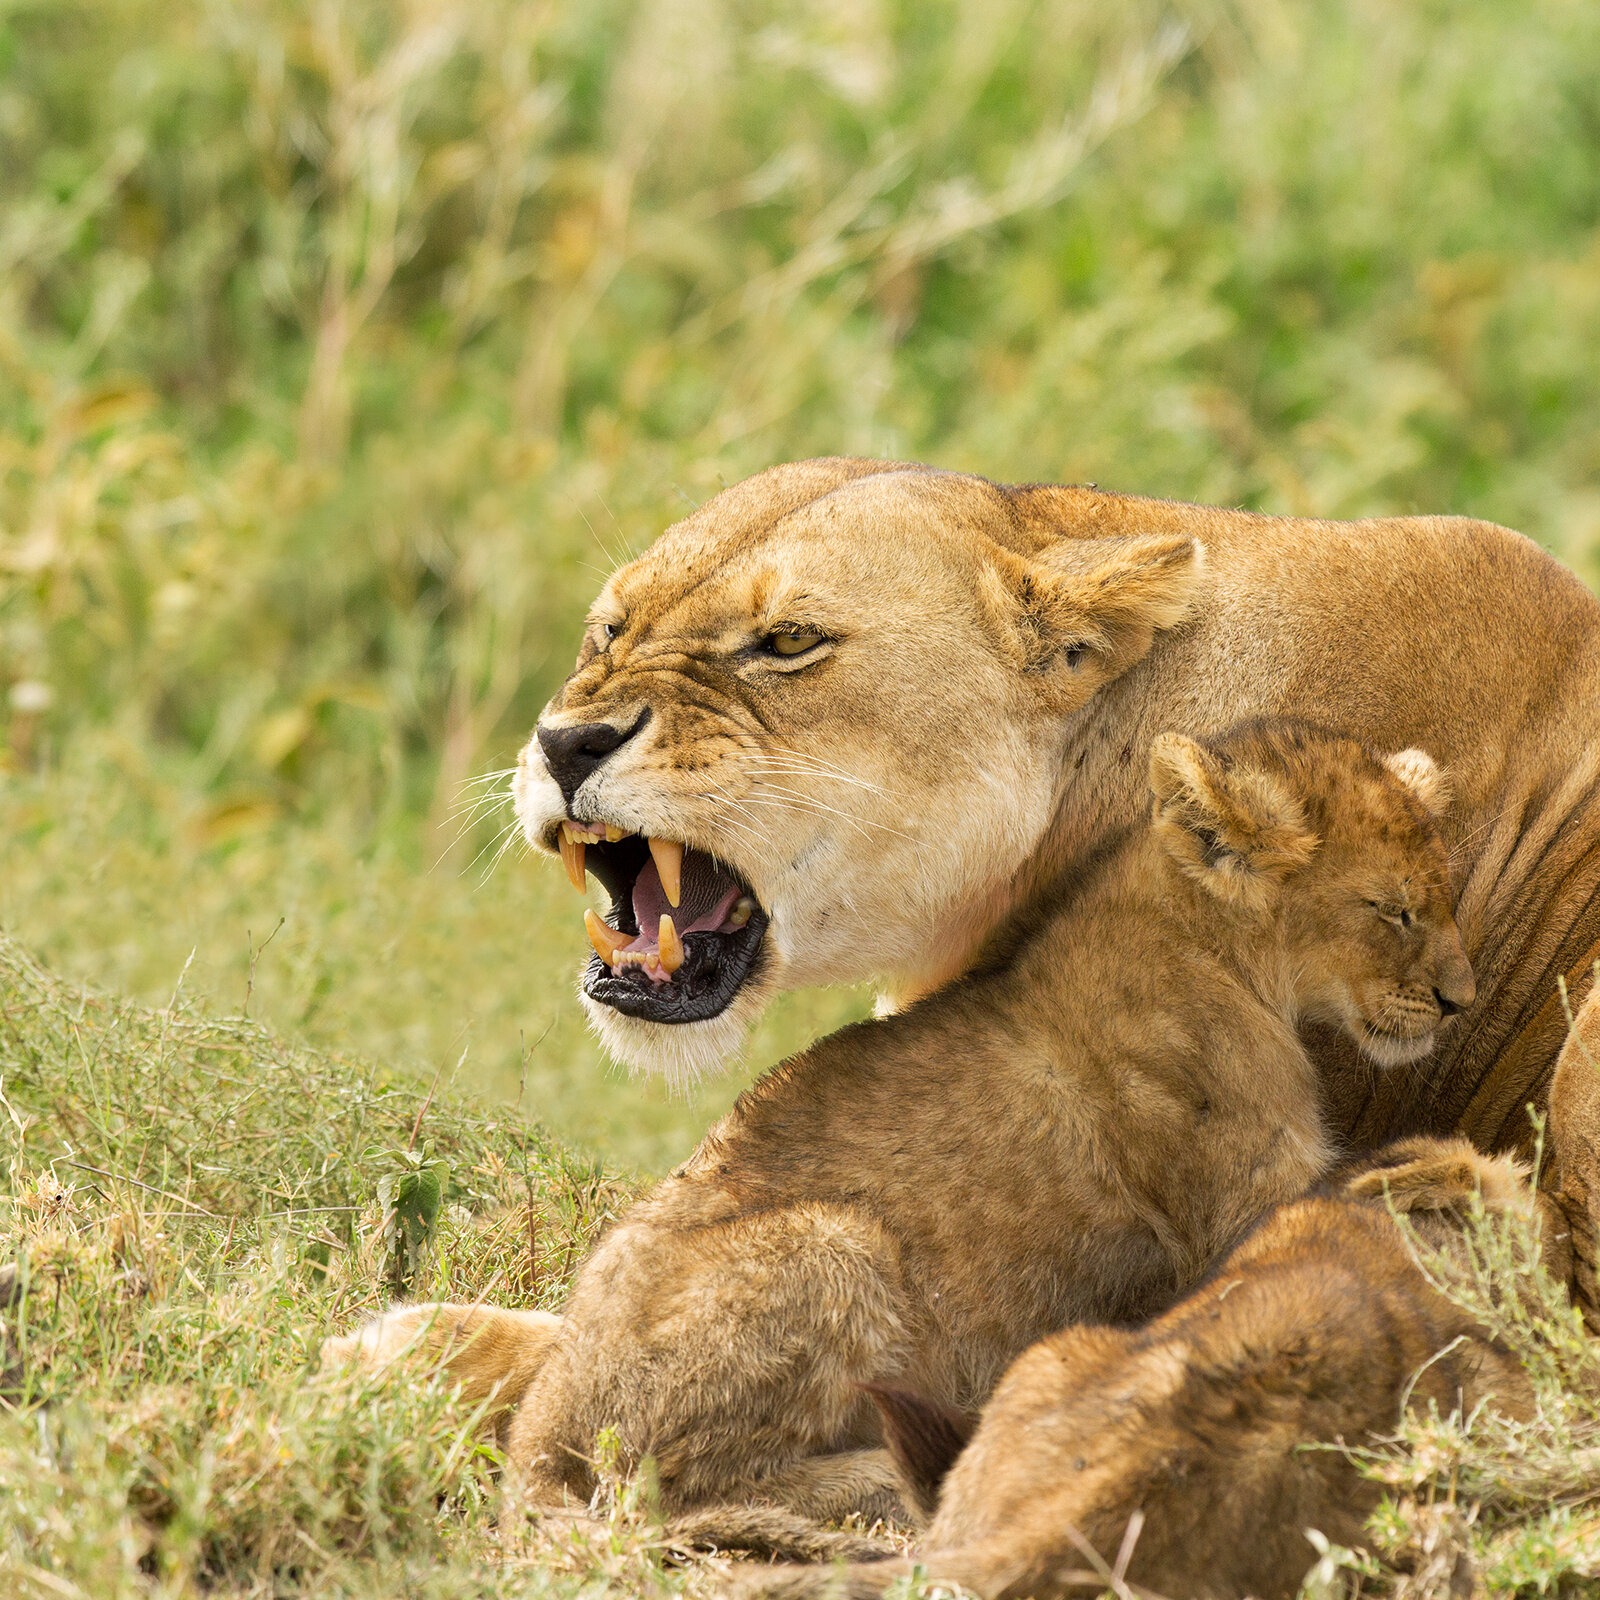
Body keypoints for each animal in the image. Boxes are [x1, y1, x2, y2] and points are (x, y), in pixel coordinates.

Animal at [327, 716, 1475, 1525]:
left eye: (1449, 895)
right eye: (1393, 908)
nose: (1461, 1001)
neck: (1215, 941)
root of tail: (543, 1423)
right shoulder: (1242, 1205)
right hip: (833, 1245)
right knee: (663, 1489)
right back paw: (886, 1471)